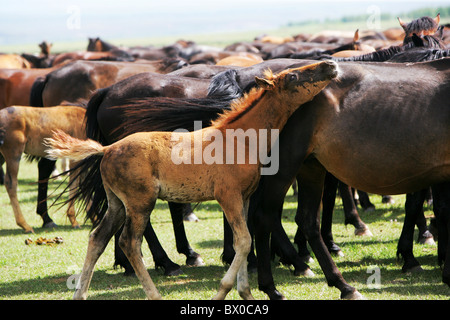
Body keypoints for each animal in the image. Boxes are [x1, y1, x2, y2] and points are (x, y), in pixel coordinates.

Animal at [46, 60, 342, 300]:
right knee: (129, 242)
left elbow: (245, 242)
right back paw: (157, 287)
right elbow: (243, 242)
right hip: (140, 202)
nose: (330, 64)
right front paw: (224, 291)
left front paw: (246, 292)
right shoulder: (228, 196)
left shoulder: (244, 198)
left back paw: (80, 294)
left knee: (98, 237)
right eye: (293, 76)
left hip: (117, 203)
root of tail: (107, 149)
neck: (240, 139)